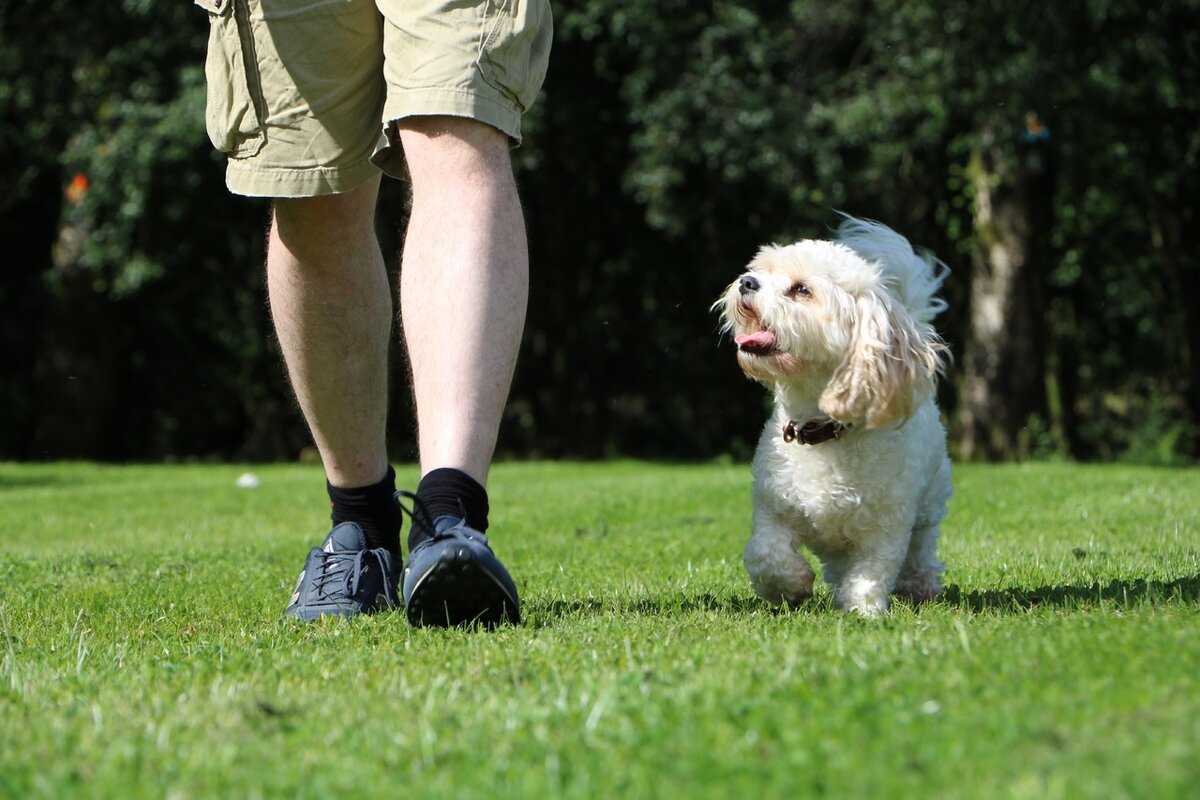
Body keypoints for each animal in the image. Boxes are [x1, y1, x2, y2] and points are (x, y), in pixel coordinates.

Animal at [710, 215, 955, 618]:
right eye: (763, 271)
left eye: (801, 290)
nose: (747, 282)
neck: (821, 430)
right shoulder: (773, 508)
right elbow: (765, 553)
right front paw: (790, 585)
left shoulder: (886, 528)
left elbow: (873, 570)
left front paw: (863, 610)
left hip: (929, 502)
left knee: (921, 547)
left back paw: (918, 585)